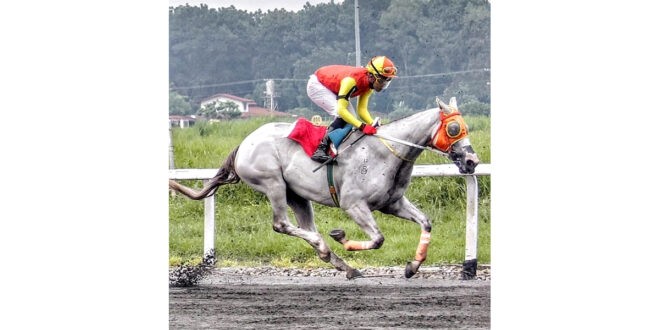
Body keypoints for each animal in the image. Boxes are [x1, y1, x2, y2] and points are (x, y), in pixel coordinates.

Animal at [170, 97, 480, 278]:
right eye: (454, 128)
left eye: (466, 127)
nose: (472, 161)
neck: (384, 152)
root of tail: (244, 143)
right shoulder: (354, 205)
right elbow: (378, 239)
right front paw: (341, 235)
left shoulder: (393, 203)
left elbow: (425, 222)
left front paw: (413, 266)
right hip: (273, 183)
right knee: (282, 224)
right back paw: (328, 247)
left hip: (297, 194)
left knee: (305, 227)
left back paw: (342, 264)